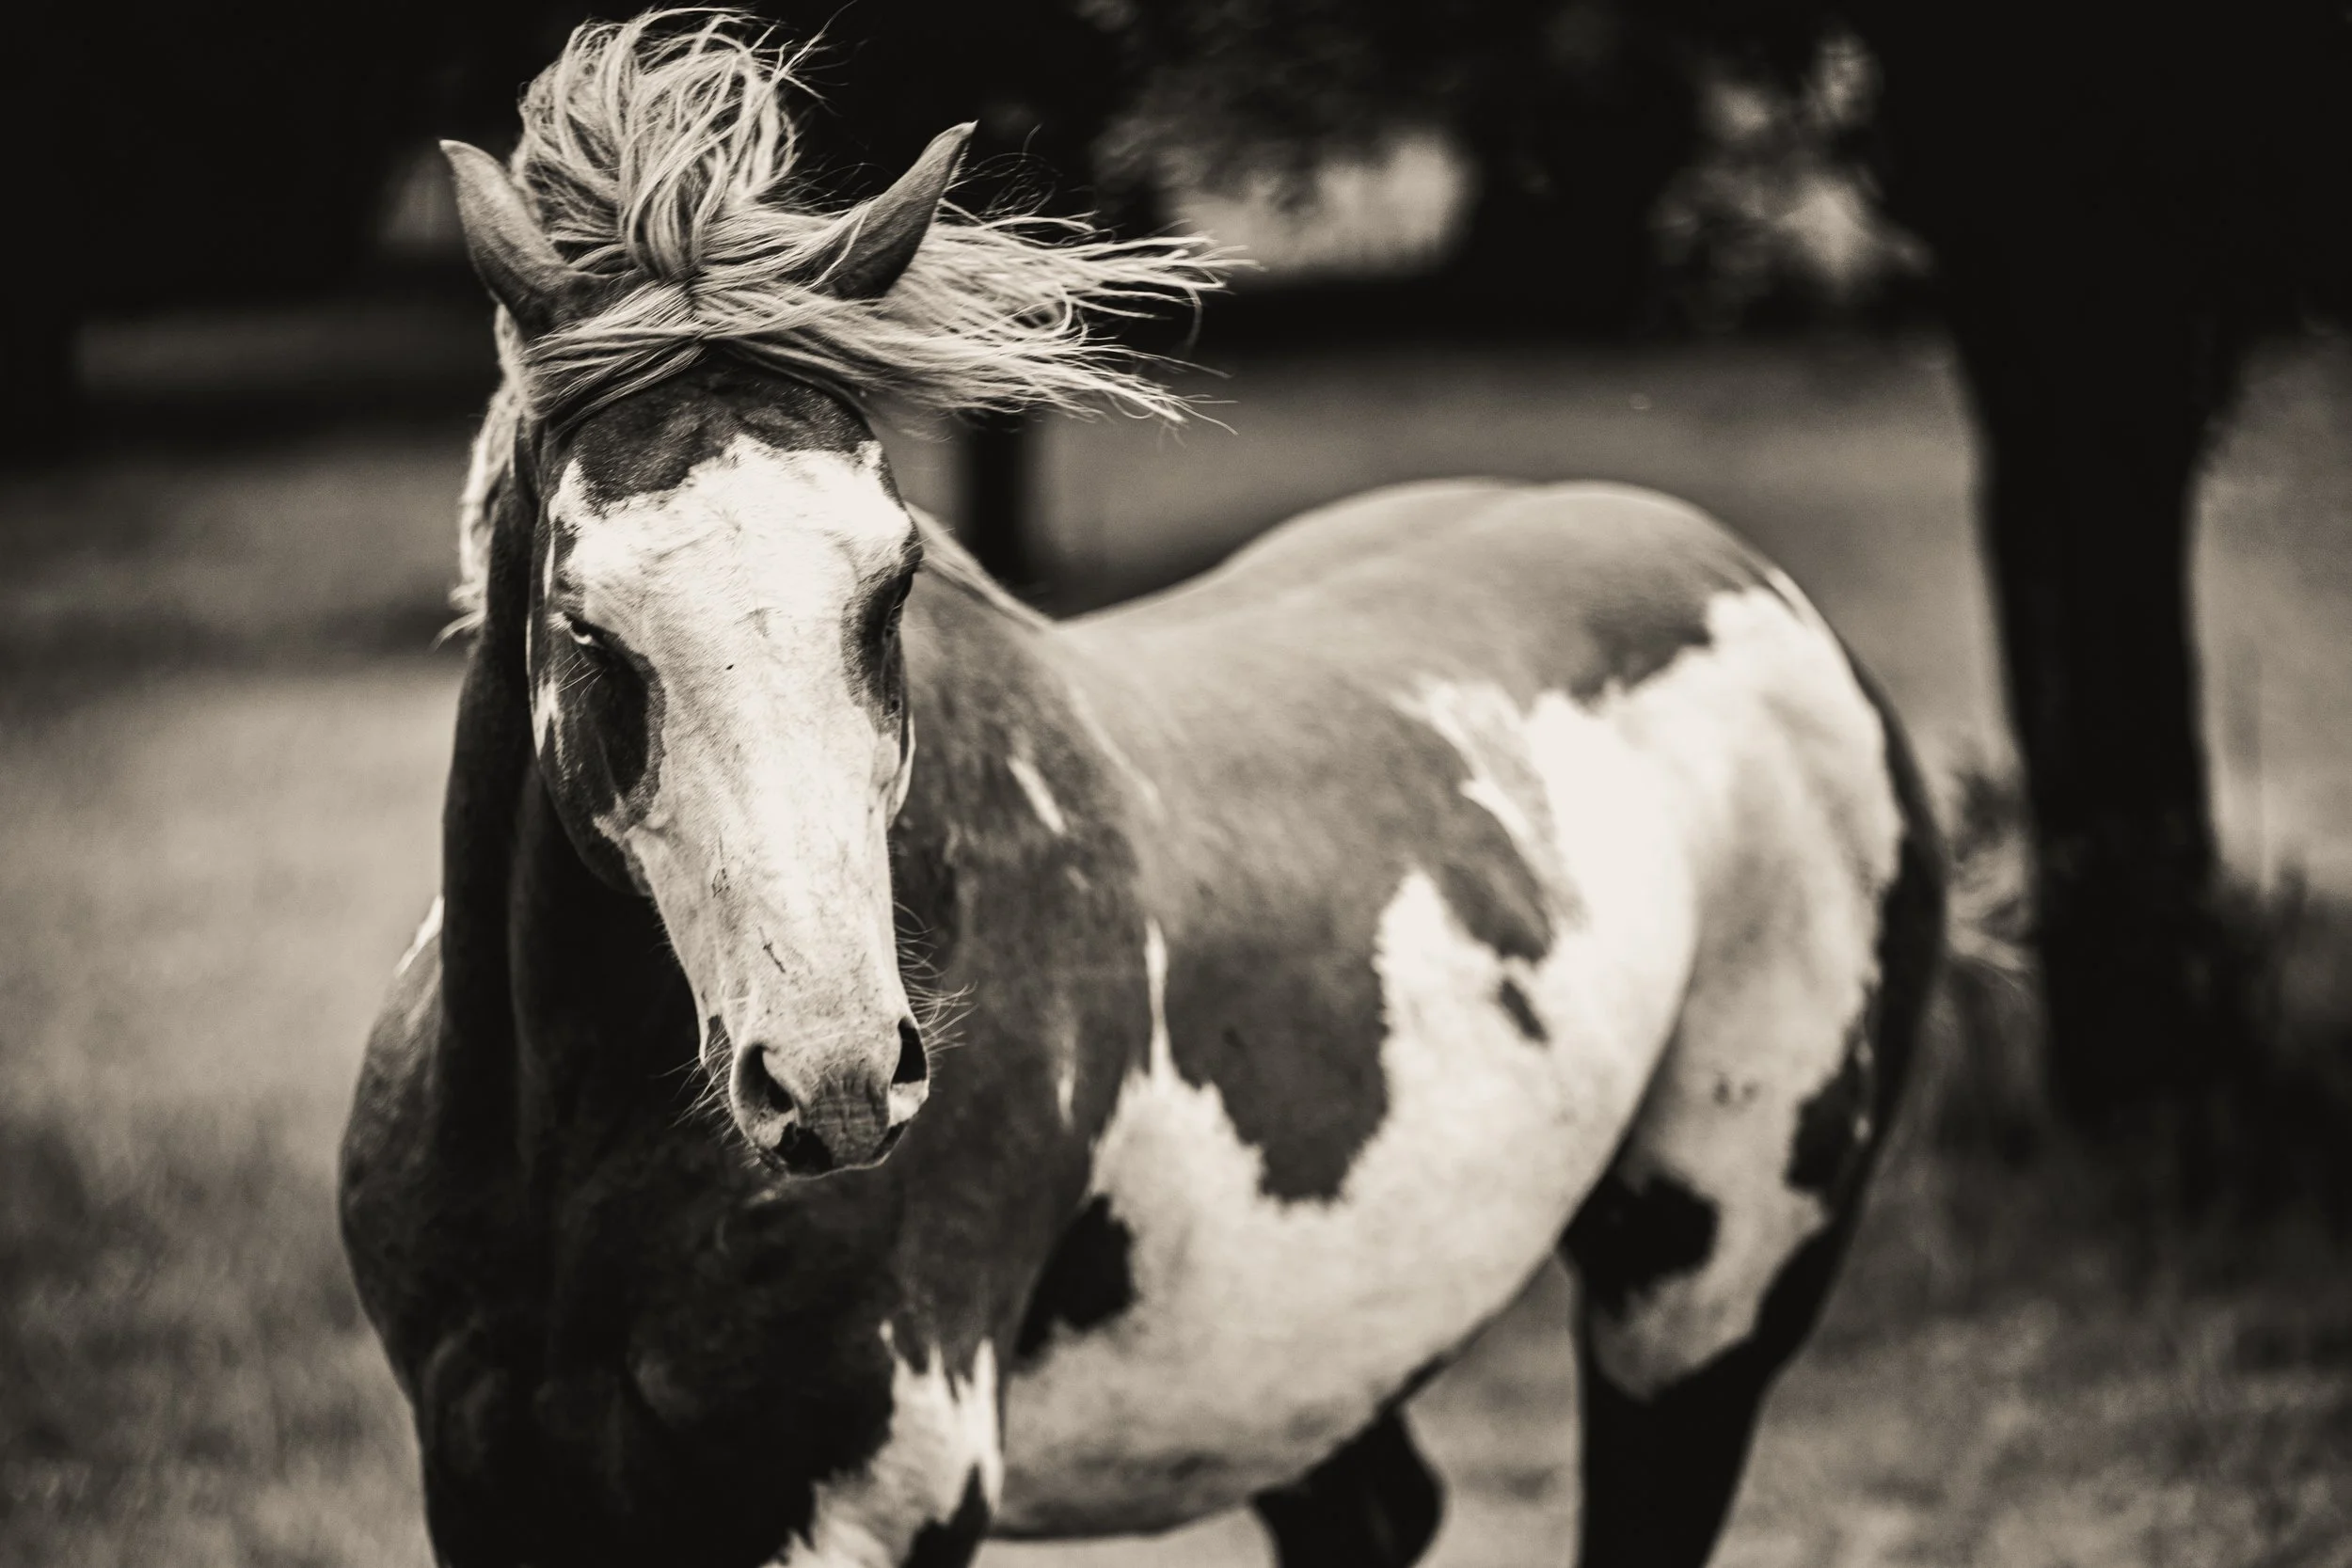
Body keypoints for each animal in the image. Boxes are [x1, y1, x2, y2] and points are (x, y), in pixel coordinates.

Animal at [339, 14, 1945, 1568]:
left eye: (893, 581)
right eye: (586, 621)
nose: (839, 1079)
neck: (572, 1164)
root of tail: (1744, 575)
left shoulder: (876, 1502)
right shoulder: (488, 1487)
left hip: (1697, 1310)